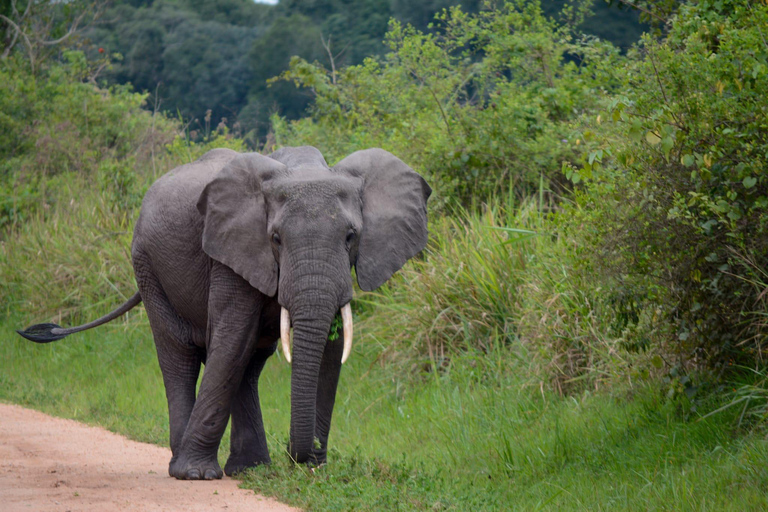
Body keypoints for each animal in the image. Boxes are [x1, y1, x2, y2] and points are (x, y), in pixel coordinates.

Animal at [19, 147, 432, 480]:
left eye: (350, 237)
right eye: (276, 239)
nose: (301, 456)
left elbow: (328, 352)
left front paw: (315, 468)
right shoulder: (231, 252)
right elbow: (232, 337)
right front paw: (197, 475)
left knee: (248, 363)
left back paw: (249, 469)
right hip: (147, 265)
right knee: (182, 355)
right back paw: (184, 467)